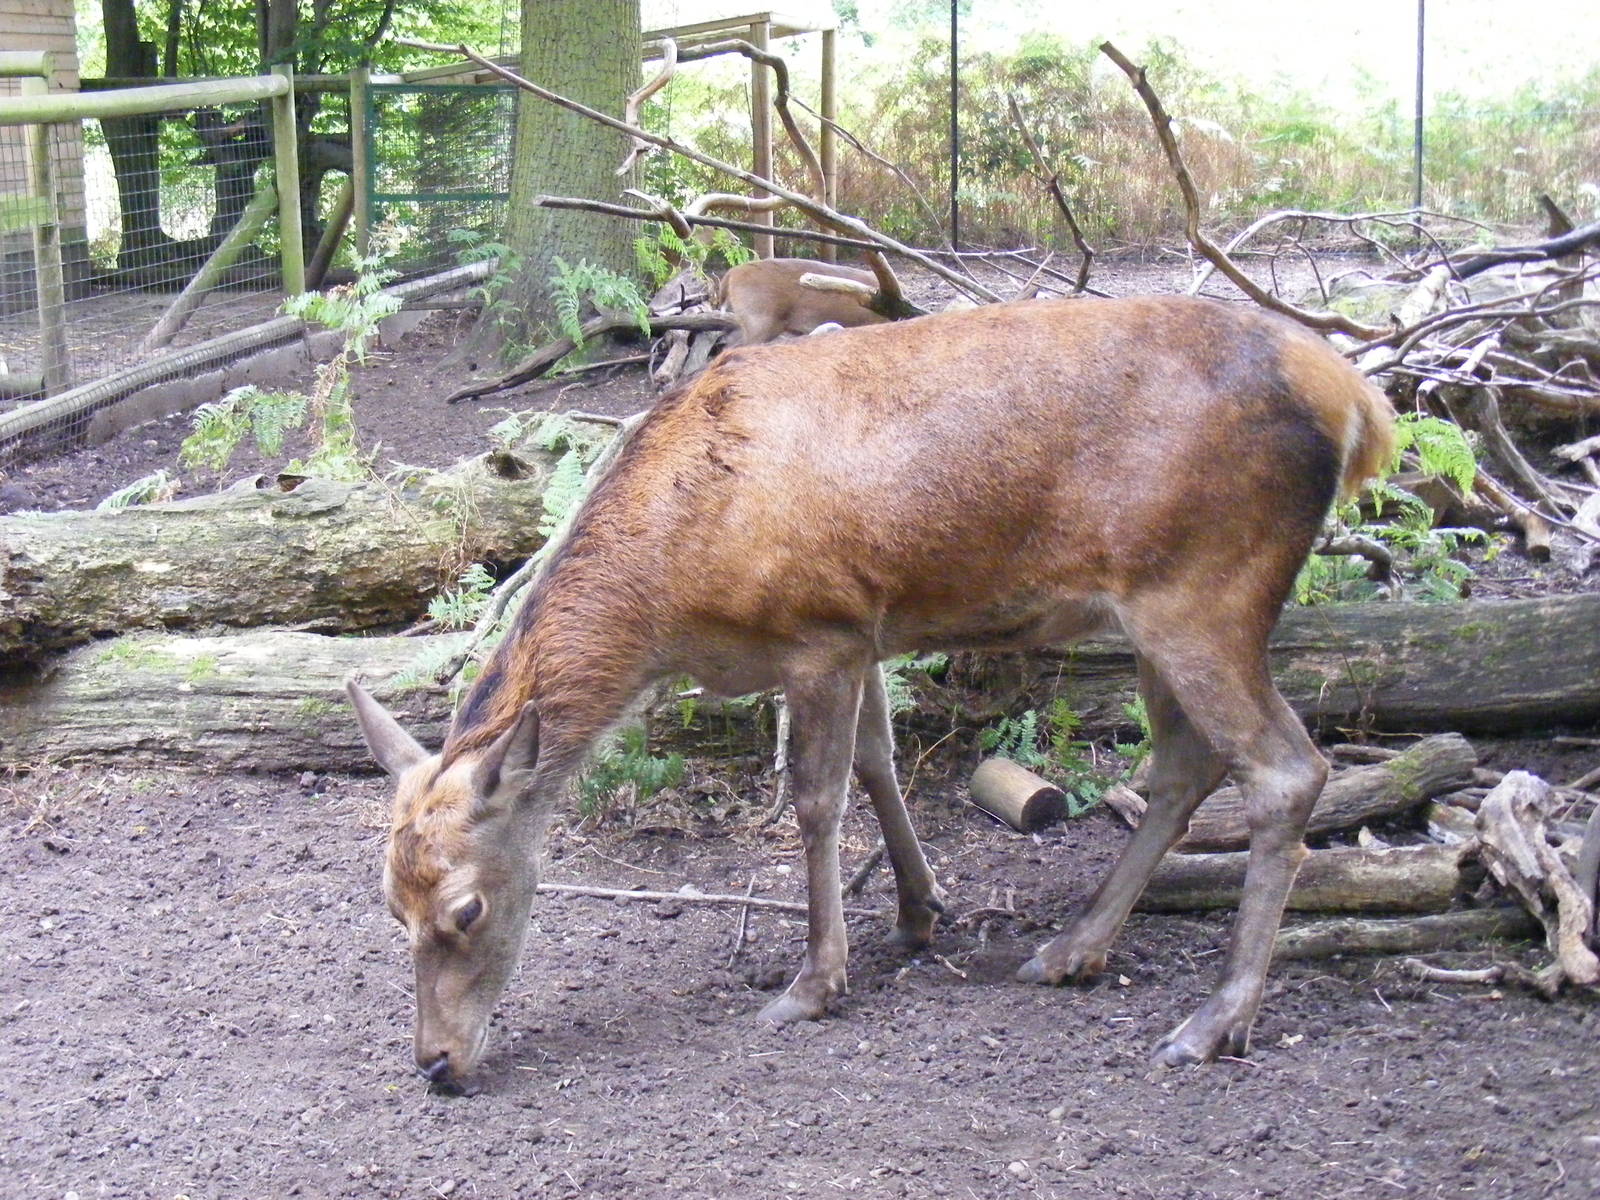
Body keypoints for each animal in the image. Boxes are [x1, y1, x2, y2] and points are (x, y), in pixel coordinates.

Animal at [348, 293, 1395, 1092]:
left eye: (468, 910)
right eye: (392, 907)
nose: (434, 1064)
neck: (671, 595)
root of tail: (1356, 399)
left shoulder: (819, 629)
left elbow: (816, 800)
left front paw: (815, 983)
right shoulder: (866, 630)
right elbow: (879, 759)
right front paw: (919, 911)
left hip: (1203, 589)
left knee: (1285, 768)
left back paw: (1214, 1020)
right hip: (1156, 612)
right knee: (1184, 766)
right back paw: (1073, 949)